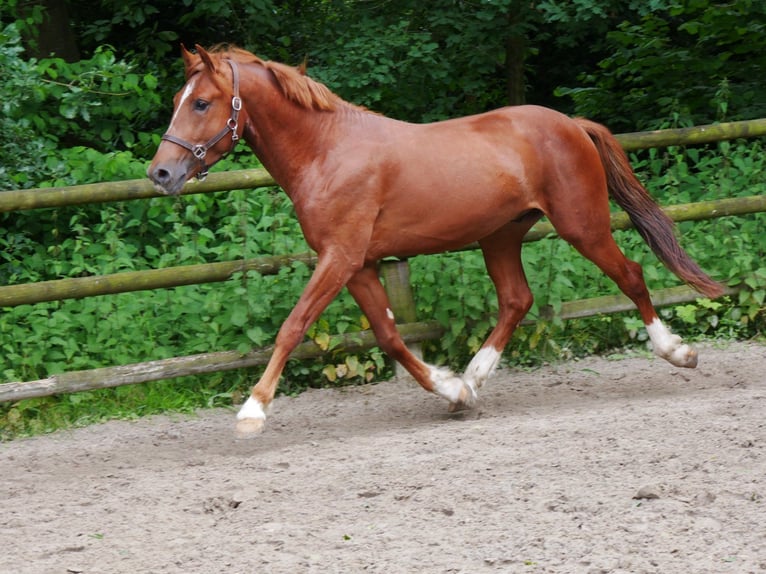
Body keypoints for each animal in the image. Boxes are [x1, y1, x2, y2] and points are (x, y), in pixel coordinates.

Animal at [146, 45, 728, 438]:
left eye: (201, 103)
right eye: (179, 99)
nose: (160, 174)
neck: (327, 152)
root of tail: (571, 123)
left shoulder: (339, 258)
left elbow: (293, 327)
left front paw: (252, 411)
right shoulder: (359, 265)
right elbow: (389, 336)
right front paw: (452, 390)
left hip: (582, 226)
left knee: (630, 275)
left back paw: (678, 352)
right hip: (500, 237)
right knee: (517, 300)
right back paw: (475, 377)